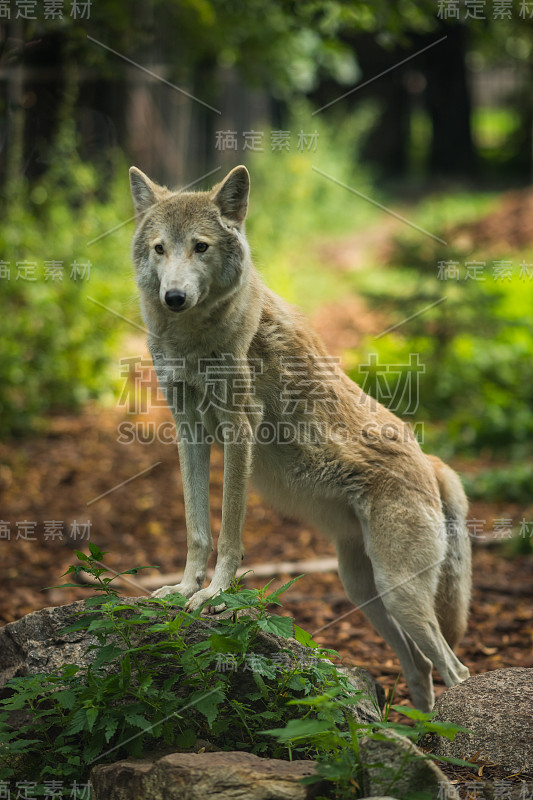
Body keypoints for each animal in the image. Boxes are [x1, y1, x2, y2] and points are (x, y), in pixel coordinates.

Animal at [129, 164, 470, 712]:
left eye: (200, 247)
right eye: (161, 249)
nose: (173, 298)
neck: (193, 341)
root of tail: (432, 462)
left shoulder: (239, 428)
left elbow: (229, 531)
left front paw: (214, 595)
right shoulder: (188, 429)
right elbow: (196, 527)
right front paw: (183, 590)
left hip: (398, 592)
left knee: (455, 669)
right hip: (364, 592)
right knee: (420, 669)